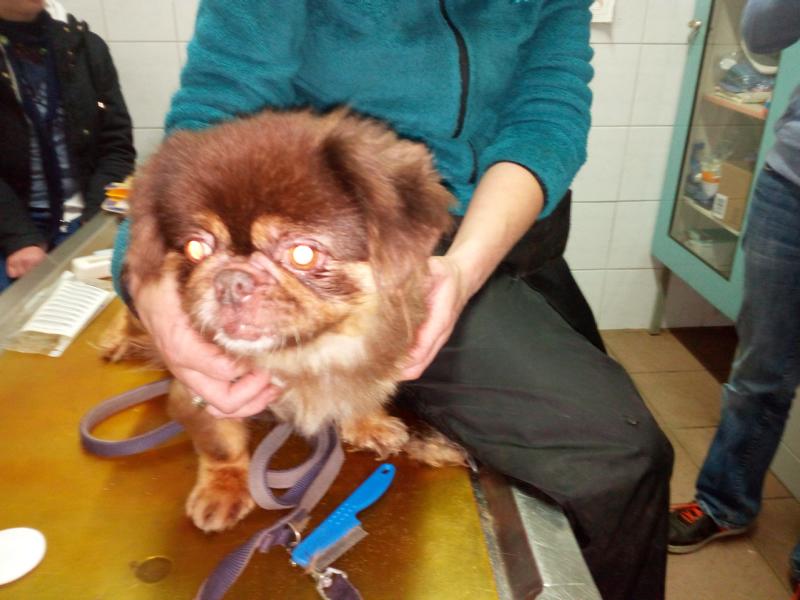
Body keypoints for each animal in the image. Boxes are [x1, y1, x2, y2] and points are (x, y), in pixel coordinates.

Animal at [103, 109, 466, 532]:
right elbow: (221, 443)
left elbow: (358, 395)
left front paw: (367, 424)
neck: (304, 354)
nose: (231, 279)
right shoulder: (197, 391)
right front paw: (223, 489)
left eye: (303, 255)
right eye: (196, 248)